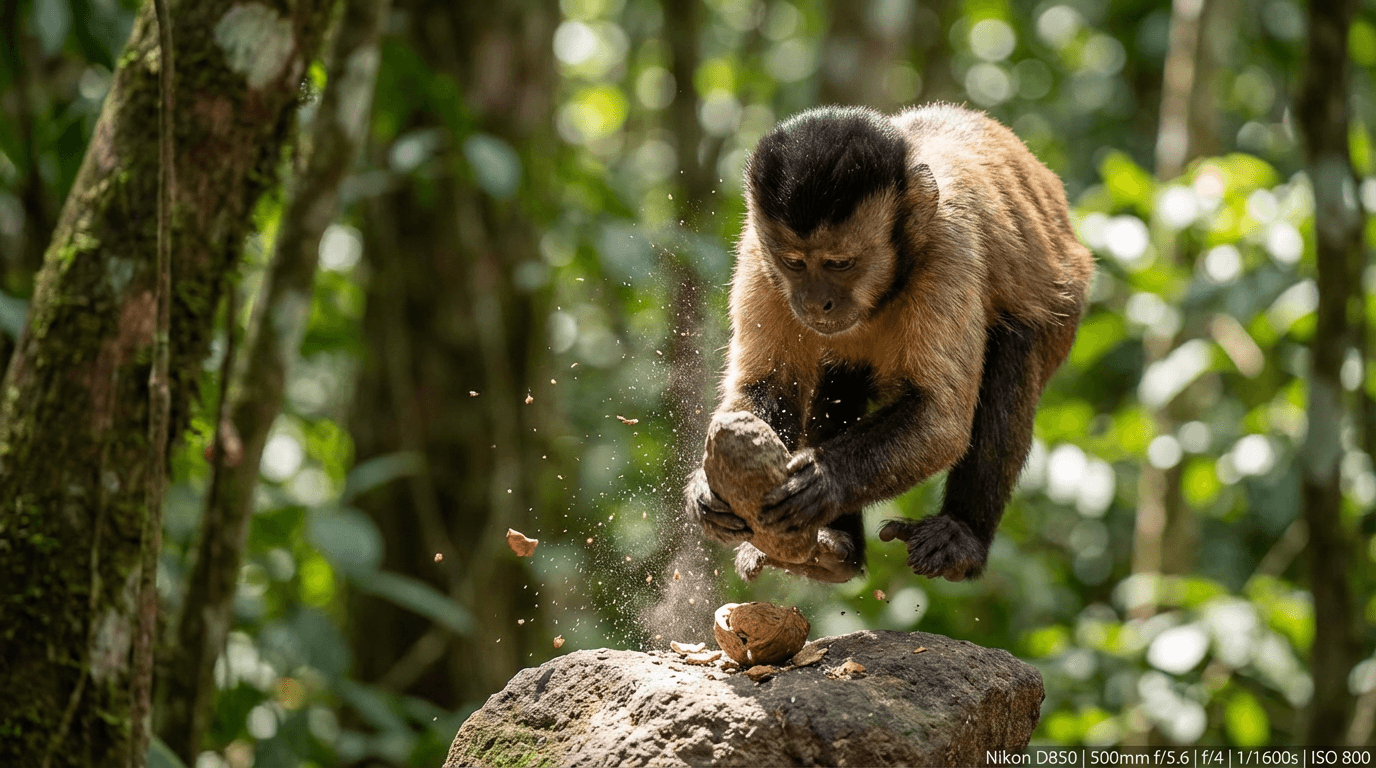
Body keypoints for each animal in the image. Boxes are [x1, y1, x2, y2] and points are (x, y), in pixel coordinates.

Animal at [685, 103, 1094, 582]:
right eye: (794, 264)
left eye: (839, 263)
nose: (815, 301)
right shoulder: (757, 254)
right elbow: (763, 387)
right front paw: (706, 490)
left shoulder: (949, 247)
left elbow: (941, 419)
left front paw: (823, 478)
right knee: (836, 379)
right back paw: (835, 548)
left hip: (1065, 309)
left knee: (1012, 359)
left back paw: (962, 537)